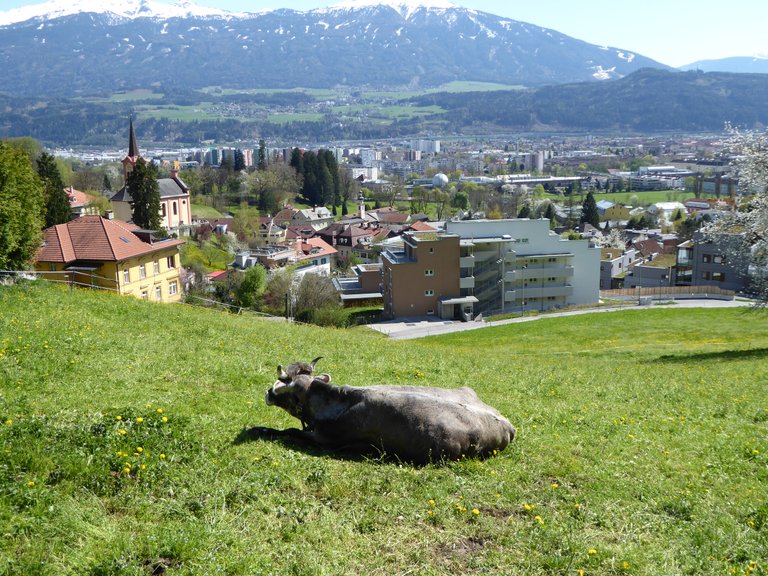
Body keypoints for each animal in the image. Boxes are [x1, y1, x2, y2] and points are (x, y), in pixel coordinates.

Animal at [252, 362, 516, 466]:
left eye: (284, 386)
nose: (267, 392)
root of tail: (507, 424)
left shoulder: (325, 439)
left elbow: (289, 430)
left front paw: (260, 429)